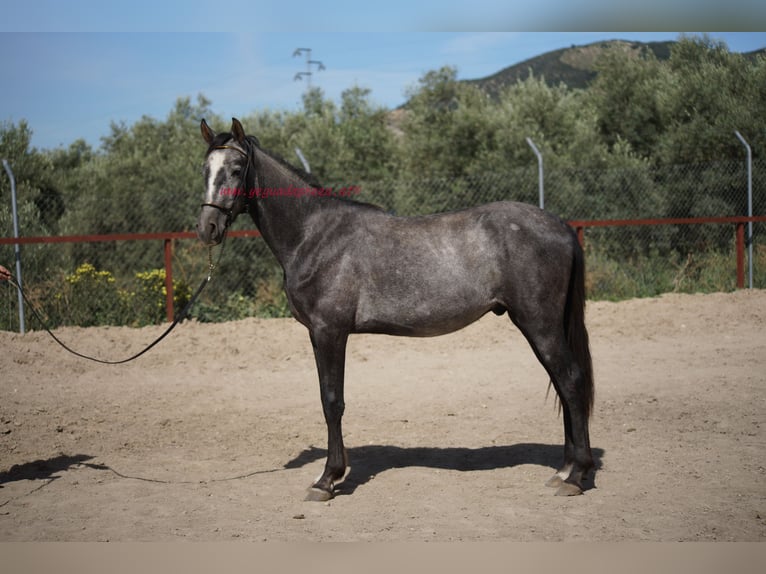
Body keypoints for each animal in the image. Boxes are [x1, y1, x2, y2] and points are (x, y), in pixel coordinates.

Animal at [196, 119, 592, 502]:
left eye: (236, 169)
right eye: (205, 169)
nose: (207, 228)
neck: (314, 234)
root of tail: (559, 225)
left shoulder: (329, 331)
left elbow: (332, 402)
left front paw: (327, 480)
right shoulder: (317, 335)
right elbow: (327, 399)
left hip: (539, 323)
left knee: (571, 382)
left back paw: (576, 476)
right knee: (562, 384)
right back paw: (564, 470)